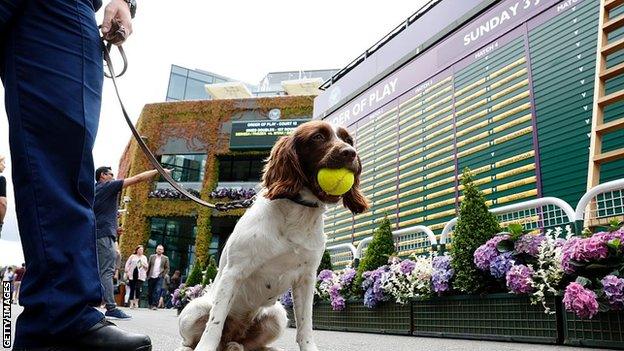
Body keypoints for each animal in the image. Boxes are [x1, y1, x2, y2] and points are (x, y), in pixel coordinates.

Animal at [176, 121, 368, 351]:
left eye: (348, 140)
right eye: (318, 137)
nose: (351, 153)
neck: (298, 213)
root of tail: (232, 337)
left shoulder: (306, 278)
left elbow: (306, 324)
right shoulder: (234, 273)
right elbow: (215, 322)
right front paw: (205, 347)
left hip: (277, 315)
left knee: (252, 345)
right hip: (194, 309)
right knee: (193, 337)